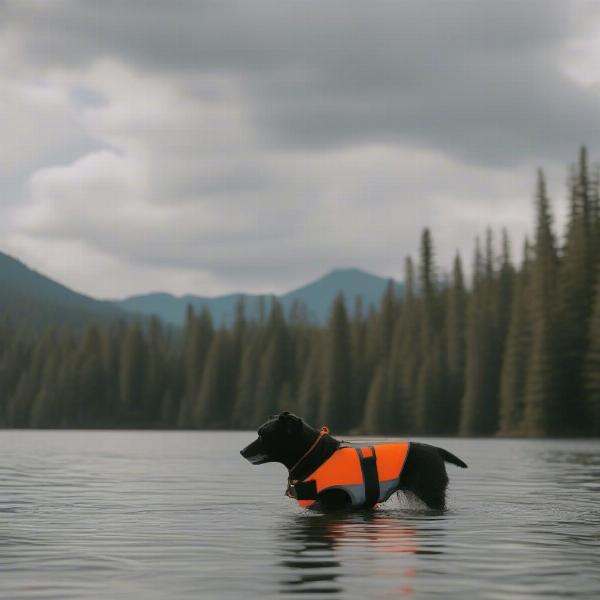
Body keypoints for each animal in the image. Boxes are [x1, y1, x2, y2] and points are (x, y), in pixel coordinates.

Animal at [240, 412, 468, 510]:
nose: (242, 451)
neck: (315, 456)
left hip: (431, 493)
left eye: (263, 435)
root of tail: (436, 450)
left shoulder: (333, 502)